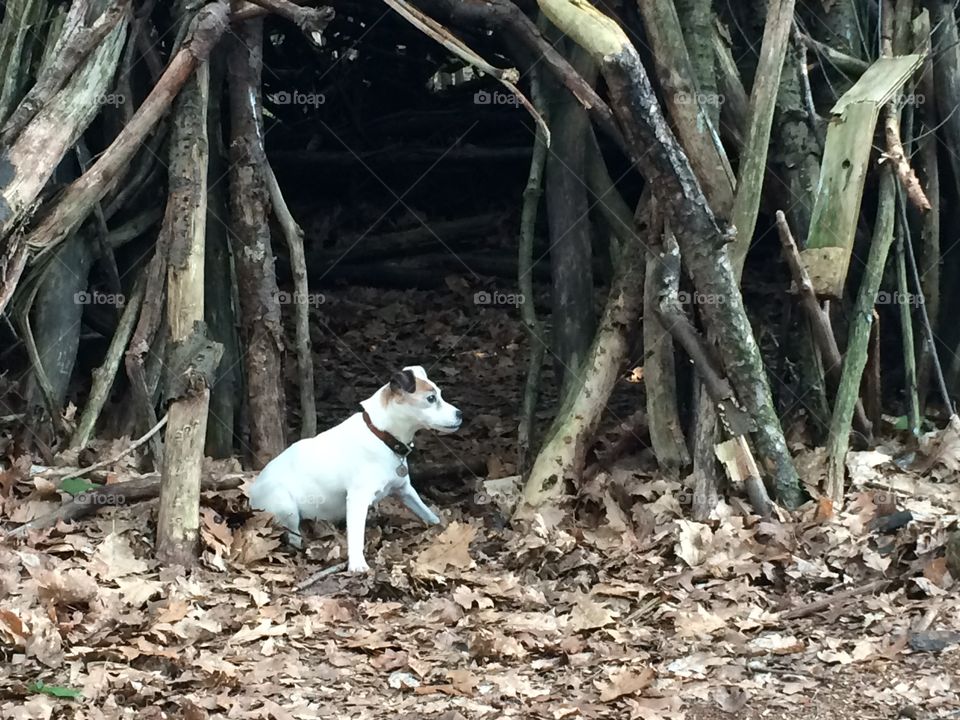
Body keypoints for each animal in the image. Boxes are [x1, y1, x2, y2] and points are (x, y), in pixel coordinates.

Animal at [246, 366, 460, 572]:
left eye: (440, 394)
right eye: (431, 398)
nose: (460, 414)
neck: (381, 434)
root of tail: (251, 497)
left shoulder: (404, 490)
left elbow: (426, 511)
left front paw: (440, 524)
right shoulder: (358, 499)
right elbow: (356, 536)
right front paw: (357, 564)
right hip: (285, 505)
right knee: (293, 536)